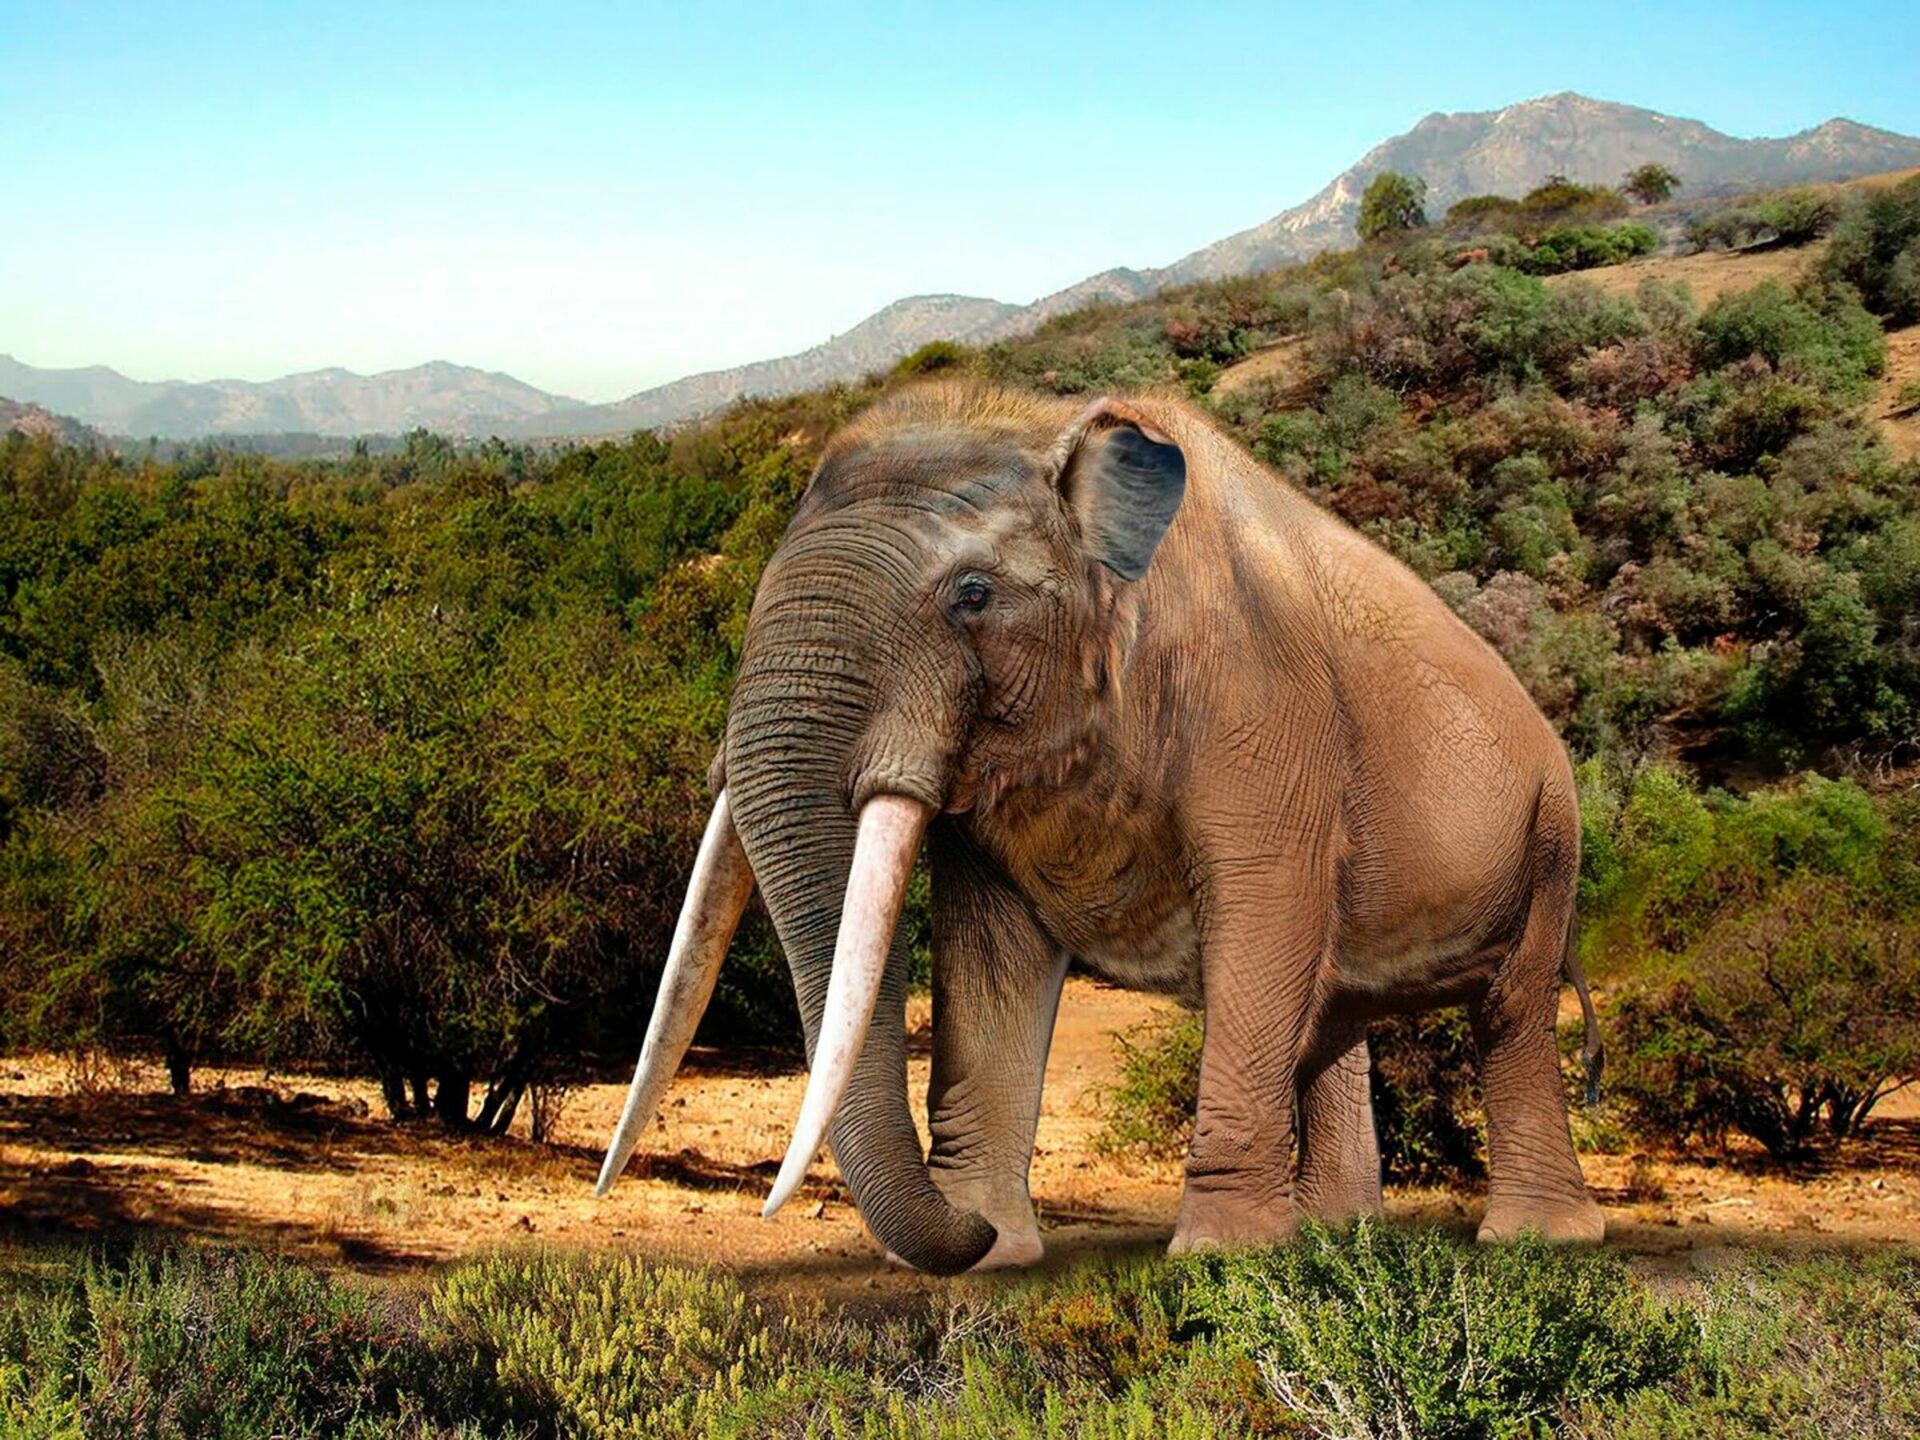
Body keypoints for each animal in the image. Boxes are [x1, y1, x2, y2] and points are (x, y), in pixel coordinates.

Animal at [595, 380, 1605, 1274]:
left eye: (971, 595)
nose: (962, 1234)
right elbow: (991, 953)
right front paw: (998, 1248)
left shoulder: (1263, 708)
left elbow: (1262, 913)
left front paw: (1222, 1259)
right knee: (1336, 1018)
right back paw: (1339, 1237)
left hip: (1551, 835)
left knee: (1509, 1011)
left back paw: (1533, 1241)